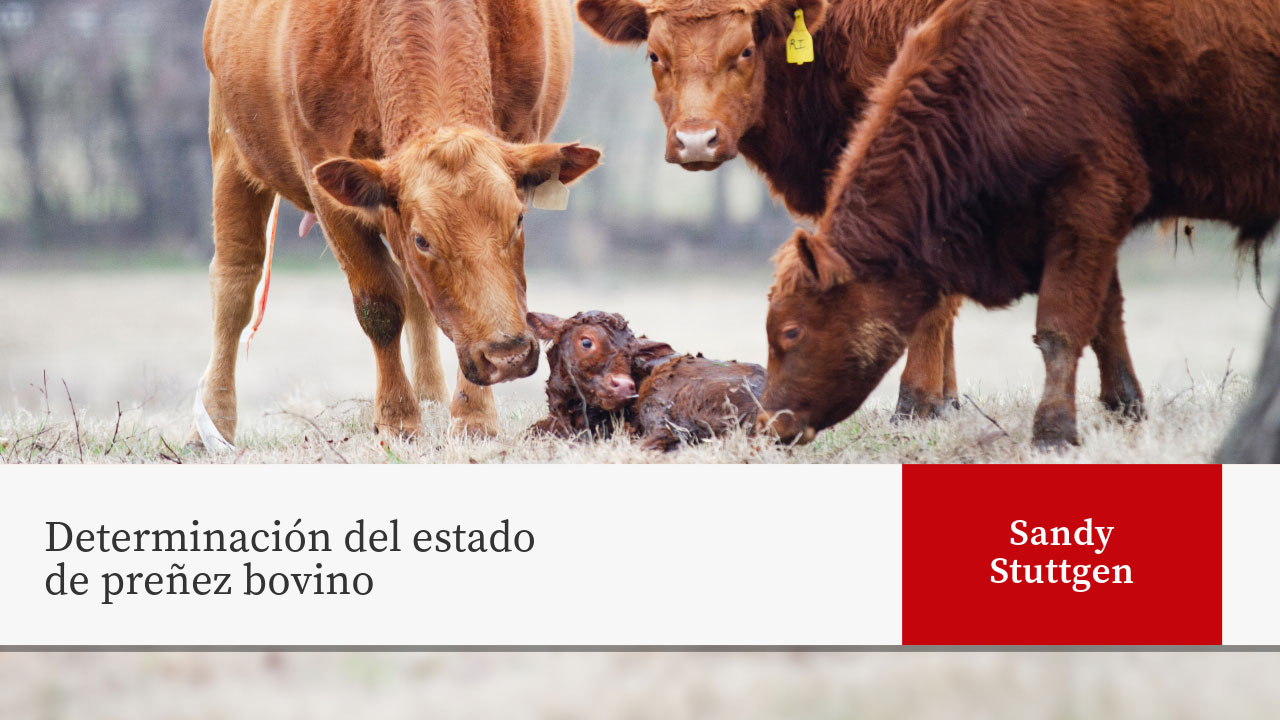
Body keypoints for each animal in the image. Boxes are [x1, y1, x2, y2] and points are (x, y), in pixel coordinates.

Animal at [193, 0, 599, 445]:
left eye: (519, 219)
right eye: (423, 240)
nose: (507, 355)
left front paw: (474, 416)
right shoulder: (327, 188)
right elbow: (380, 305)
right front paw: (398, 416)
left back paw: (433, 397)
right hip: (230, 148)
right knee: (235, 283)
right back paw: (214, 421)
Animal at [752, 0, 1280, 448]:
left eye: (792, 332)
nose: (771, 425)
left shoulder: (1089, 202)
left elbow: (1060, 328)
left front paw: (1053, 432)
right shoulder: (1089, 226)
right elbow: (1106, 318)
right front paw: (1124, 407)